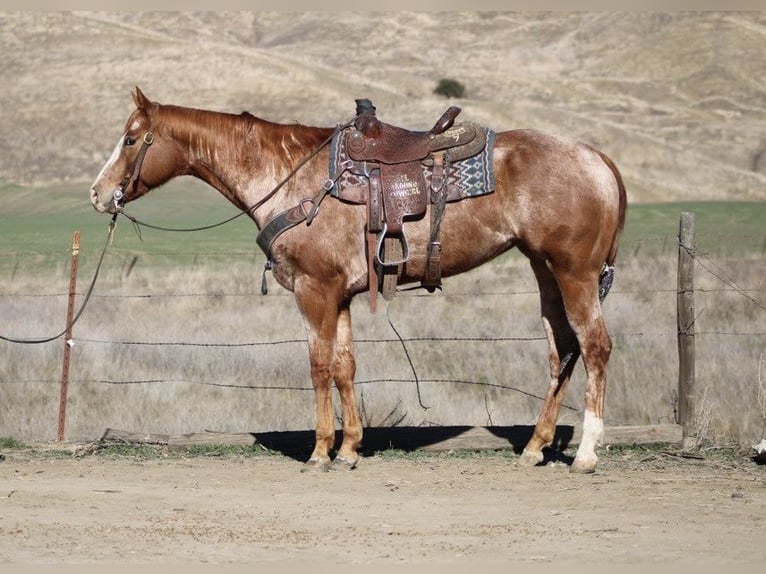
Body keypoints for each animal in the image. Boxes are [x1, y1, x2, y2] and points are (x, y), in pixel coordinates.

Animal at [90, 88, 627, 474]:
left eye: (132, 139)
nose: (98, 193)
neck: (293, 180)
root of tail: (597, 158)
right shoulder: (342, 297)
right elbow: (346, 367)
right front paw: (349, 450)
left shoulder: (315, 291)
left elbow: (319, 367)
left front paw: (319, 452)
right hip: (545, 271)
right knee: (562, 350)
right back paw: (535, 447)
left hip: (575, 274)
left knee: (595, 346)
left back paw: (586, 454)